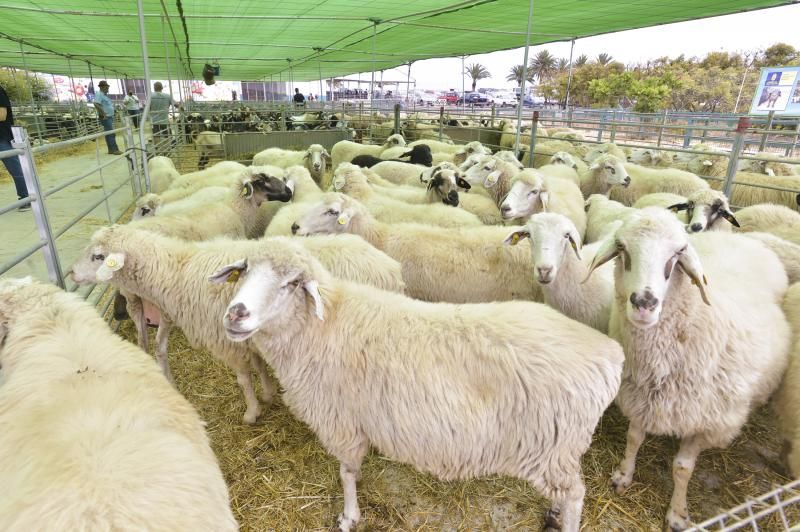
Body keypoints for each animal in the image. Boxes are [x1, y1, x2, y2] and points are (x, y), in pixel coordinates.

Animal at [69, 224, 406, 424]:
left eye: (98, 256)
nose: (72, 273)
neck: (178, 271)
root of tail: (391, 268)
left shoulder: (225, 339)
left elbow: (244, 378)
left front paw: (252, 411)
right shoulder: (250, 336)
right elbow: (258, 365)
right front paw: (269, 393)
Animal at [214, 242, 624, 532]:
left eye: (292, 283)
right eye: (244, 270)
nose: (236, 313)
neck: (323, 326)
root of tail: (610, 352)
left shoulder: (342, 423)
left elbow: (346, 474)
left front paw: (349, 517)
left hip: (554, 446)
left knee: (575, 495)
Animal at [592, 209, 792, 532]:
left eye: (678, 253)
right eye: (622, 248)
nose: (644, 303)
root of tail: (742, 239)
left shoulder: (705, 420)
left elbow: (683, 468)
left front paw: (677, 513)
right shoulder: (641, 398)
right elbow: (634, 440)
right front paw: (623, 475)